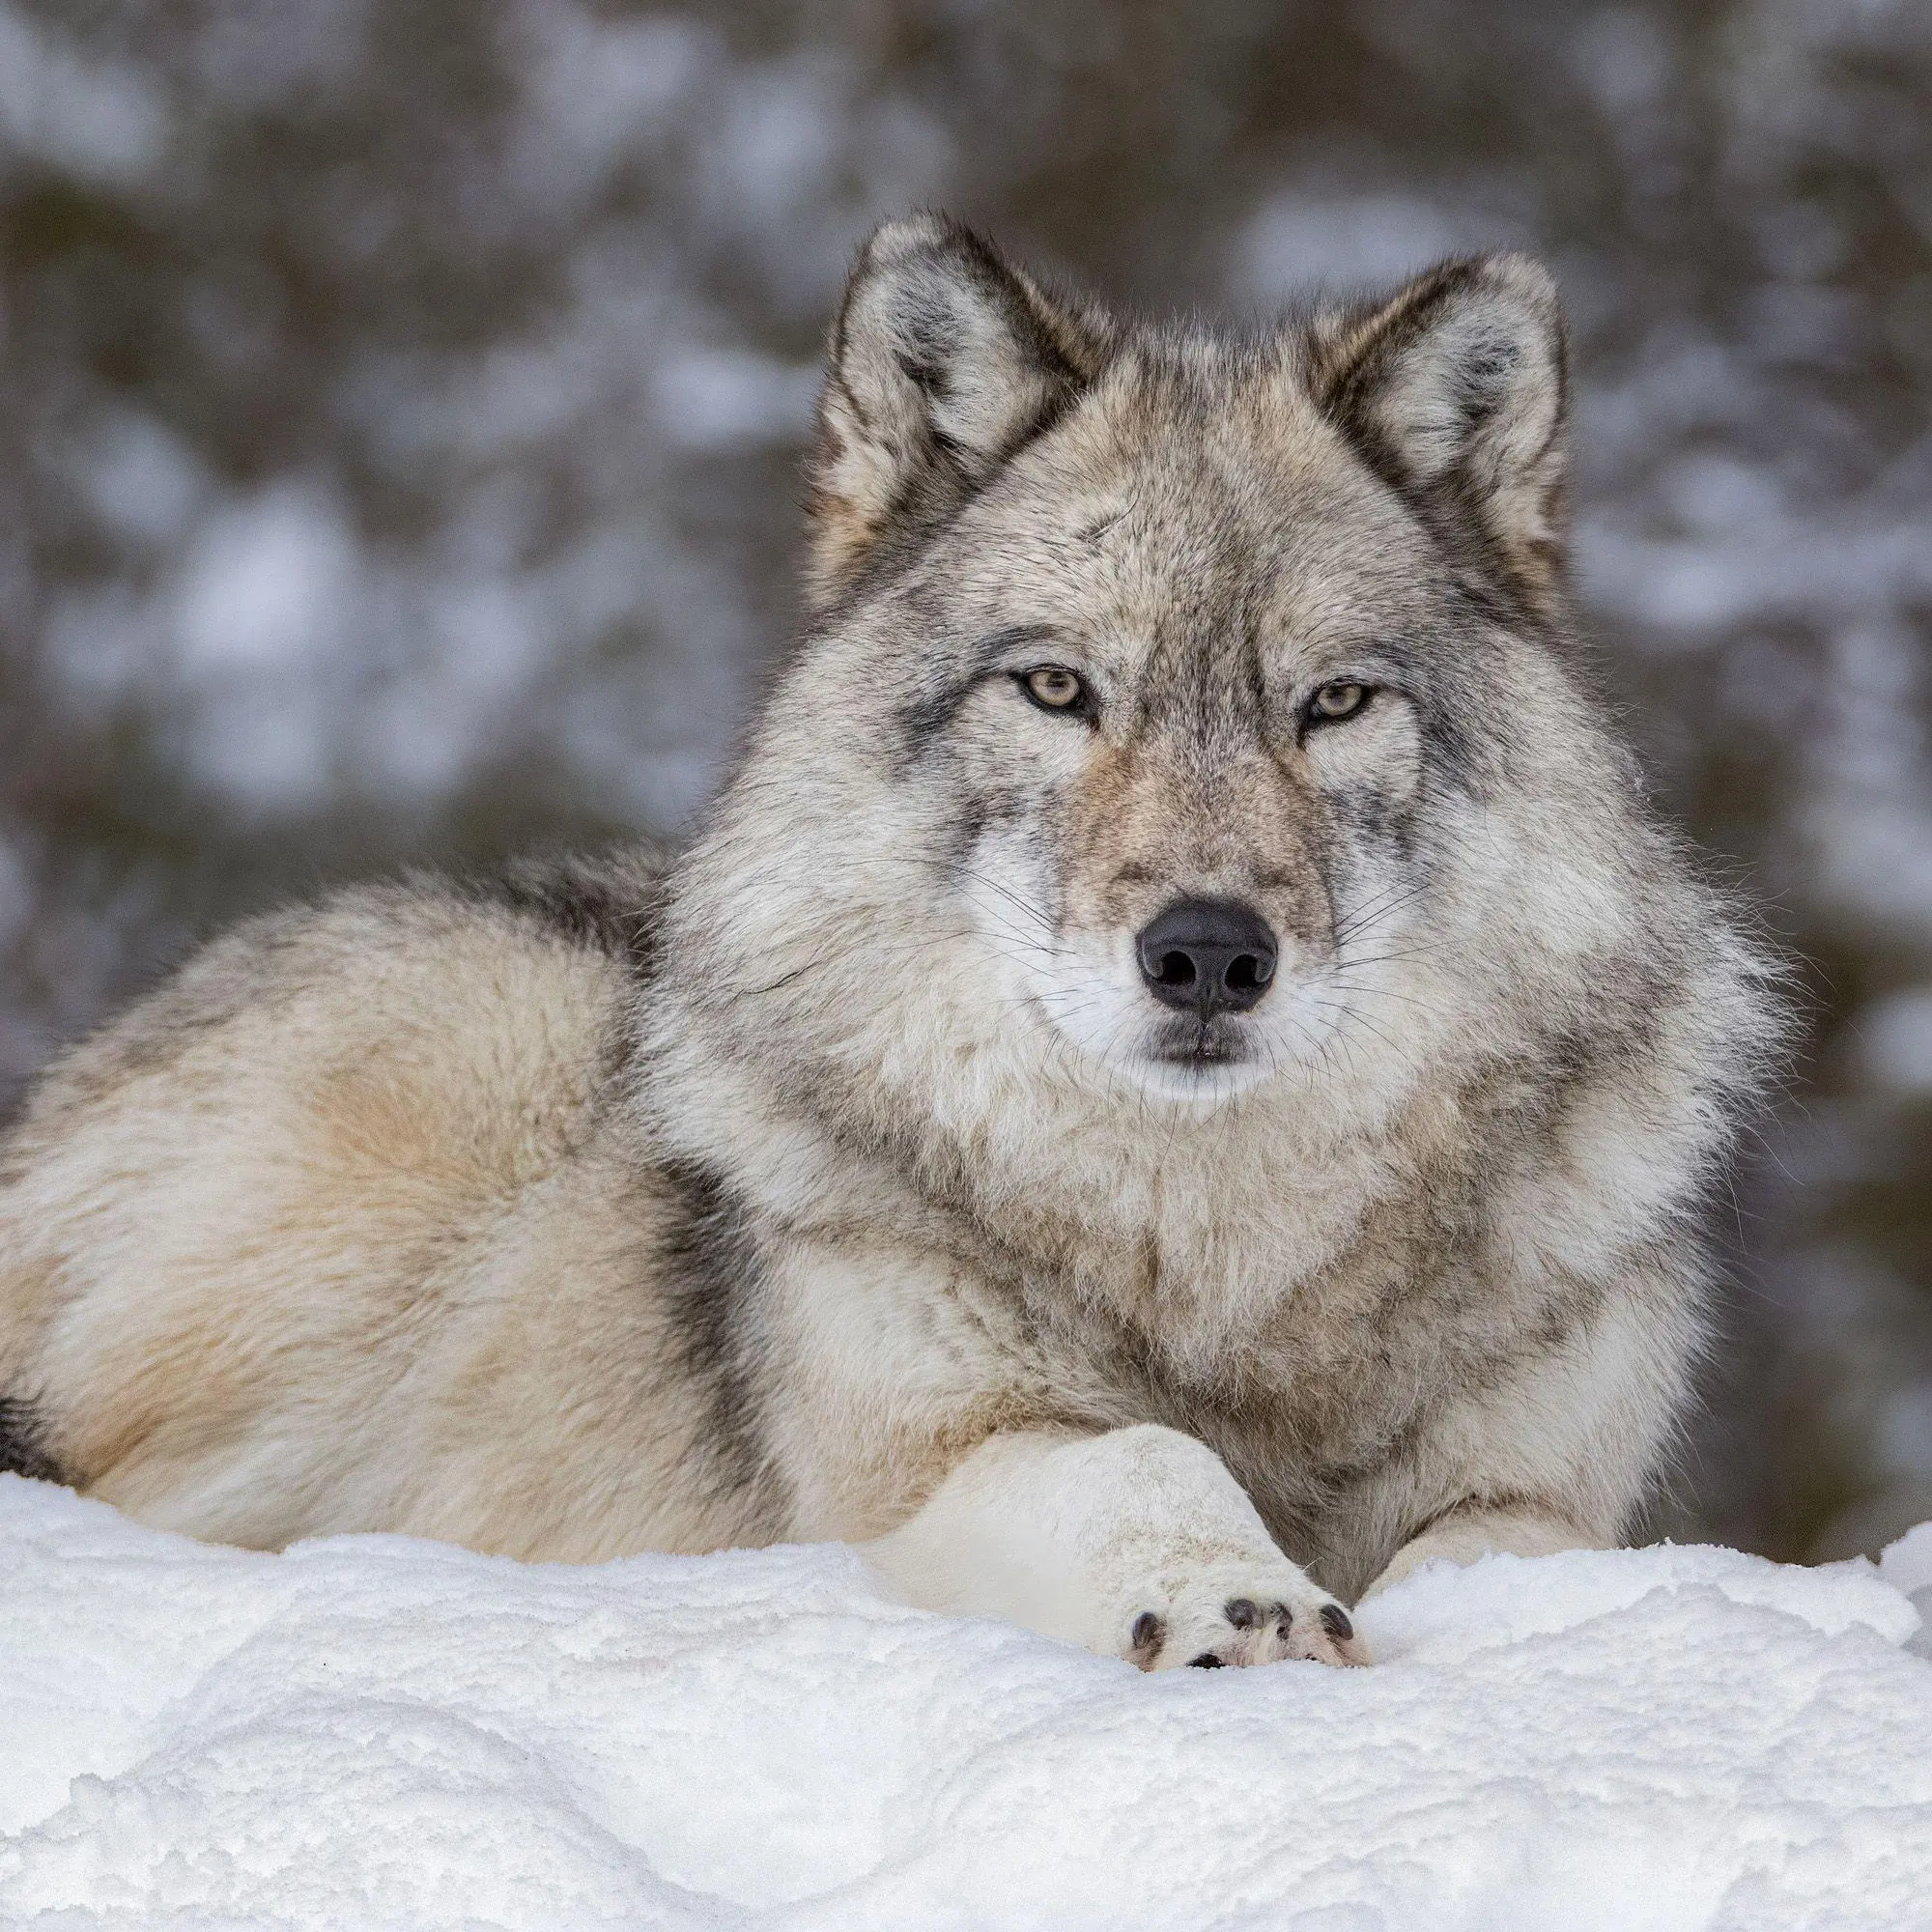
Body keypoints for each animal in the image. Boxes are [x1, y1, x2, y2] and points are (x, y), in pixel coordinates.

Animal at [0, 215, 1776, 1671]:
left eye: (1332, 703)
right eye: (1059, 690)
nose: (1209, 953)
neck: (1217, 1265)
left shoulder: (1552, 1484)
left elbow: (1515, 1543)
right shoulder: (917, 1471)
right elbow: (1142, 1453)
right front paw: (1238, 1597)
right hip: (472, 1069)